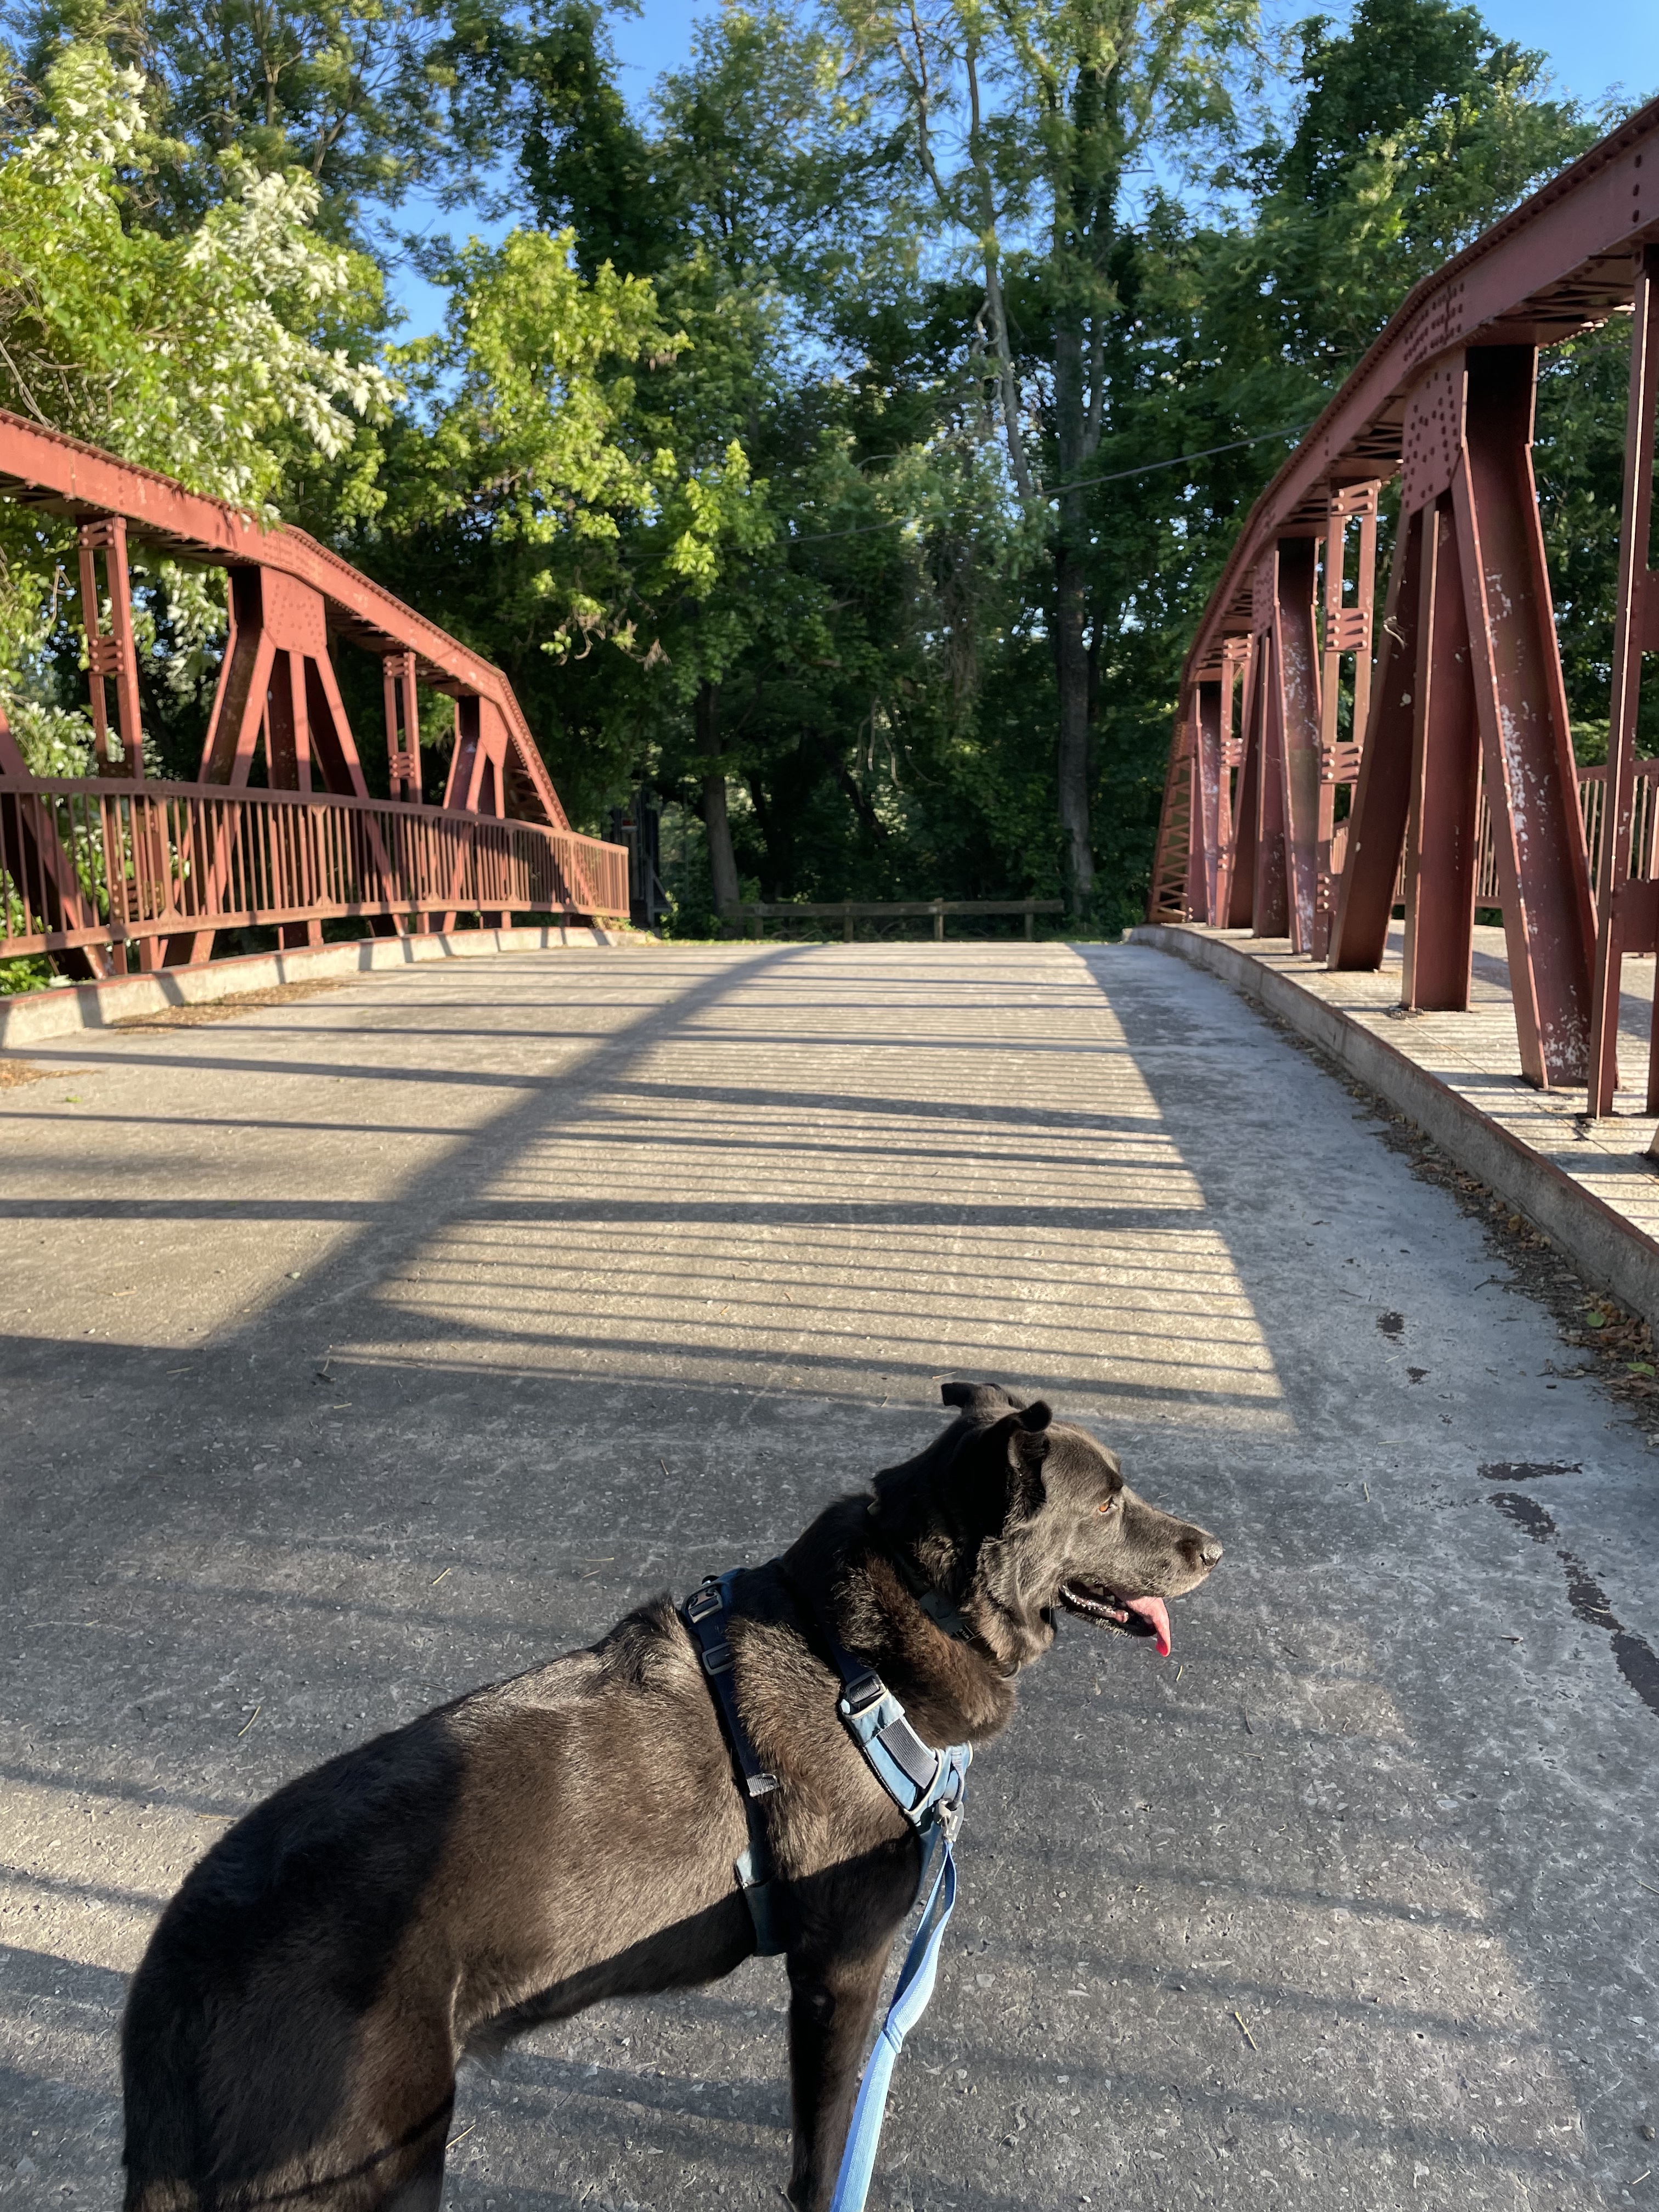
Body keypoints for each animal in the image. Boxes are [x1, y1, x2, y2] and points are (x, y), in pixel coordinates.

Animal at [126, 1380, 1221, 2212]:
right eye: (1105, 1505)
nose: (1213, 1549)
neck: (866, 1651)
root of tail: (178, 1963)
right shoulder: (845, 1966)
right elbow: (826, 2145)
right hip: (364, 2167)